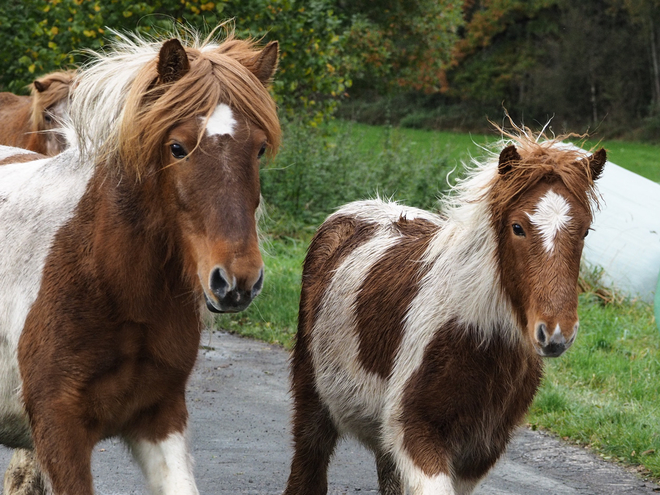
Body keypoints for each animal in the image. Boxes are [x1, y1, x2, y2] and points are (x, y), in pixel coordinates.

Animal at [284, 130, 604, 494]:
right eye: (517, 227)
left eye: (585, 230)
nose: (555, 333)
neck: (477, 337)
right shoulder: (415, 432)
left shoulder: (478, 453)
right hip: (314, 402)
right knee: (307, 470)